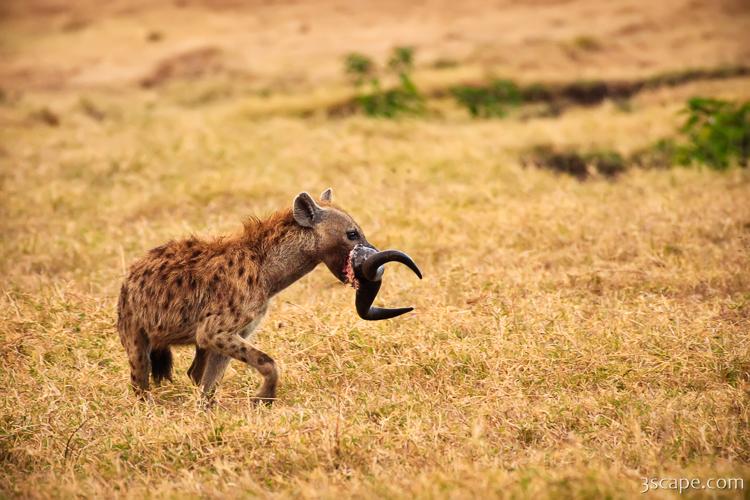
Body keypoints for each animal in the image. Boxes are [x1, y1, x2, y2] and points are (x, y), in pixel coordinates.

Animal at [116, 189, 421, 405]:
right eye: (352, 233)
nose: (372, 253)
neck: (267, 272)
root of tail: (130, 275)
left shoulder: (232, 333)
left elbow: (210, 383)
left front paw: (207, 411)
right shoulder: (215, 329)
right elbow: (267, 361)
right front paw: (263, 399)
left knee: (192, 371)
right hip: (134, 329)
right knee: (139, 375)